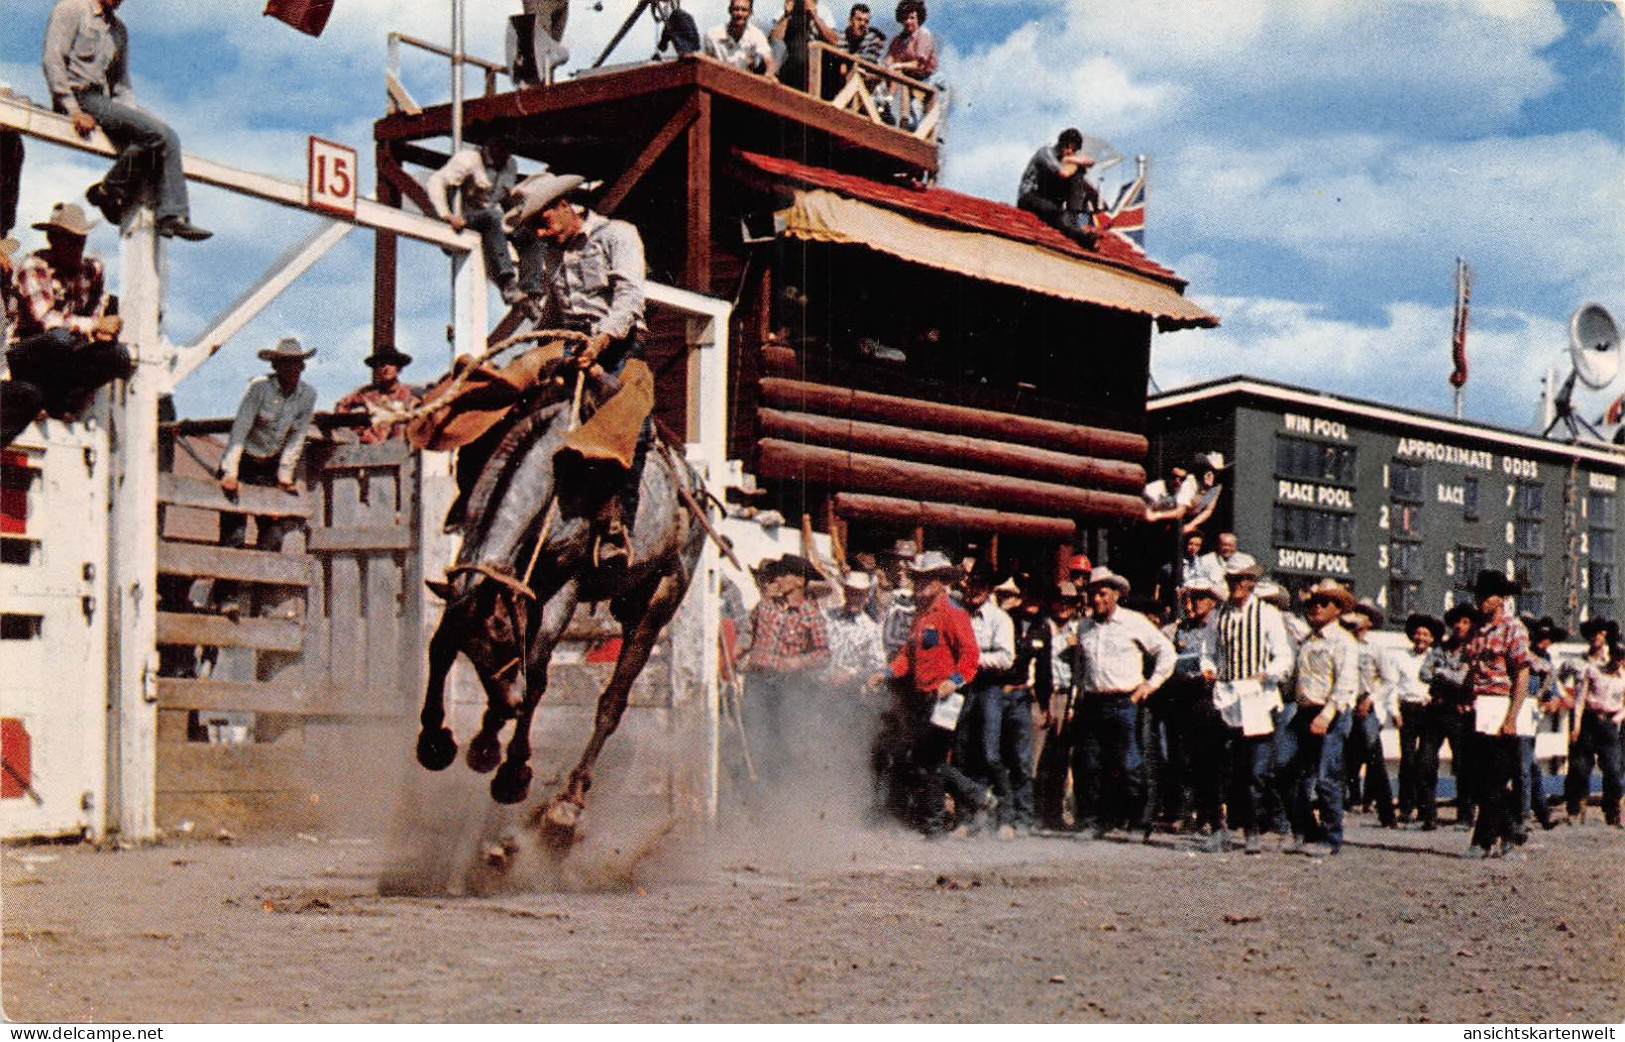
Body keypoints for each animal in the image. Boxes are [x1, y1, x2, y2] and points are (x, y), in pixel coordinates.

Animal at [398, 333, 705, 845]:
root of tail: (693, 485)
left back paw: (566, 805)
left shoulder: (565, 586)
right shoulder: (475, 570)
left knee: (612, 702)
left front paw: (511, 772)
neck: (553, 478)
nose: (511, 701)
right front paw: (439, 742)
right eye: (480, 649)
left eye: (503, 641)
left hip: (661, 597)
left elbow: (539, 671)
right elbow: (441, 645)